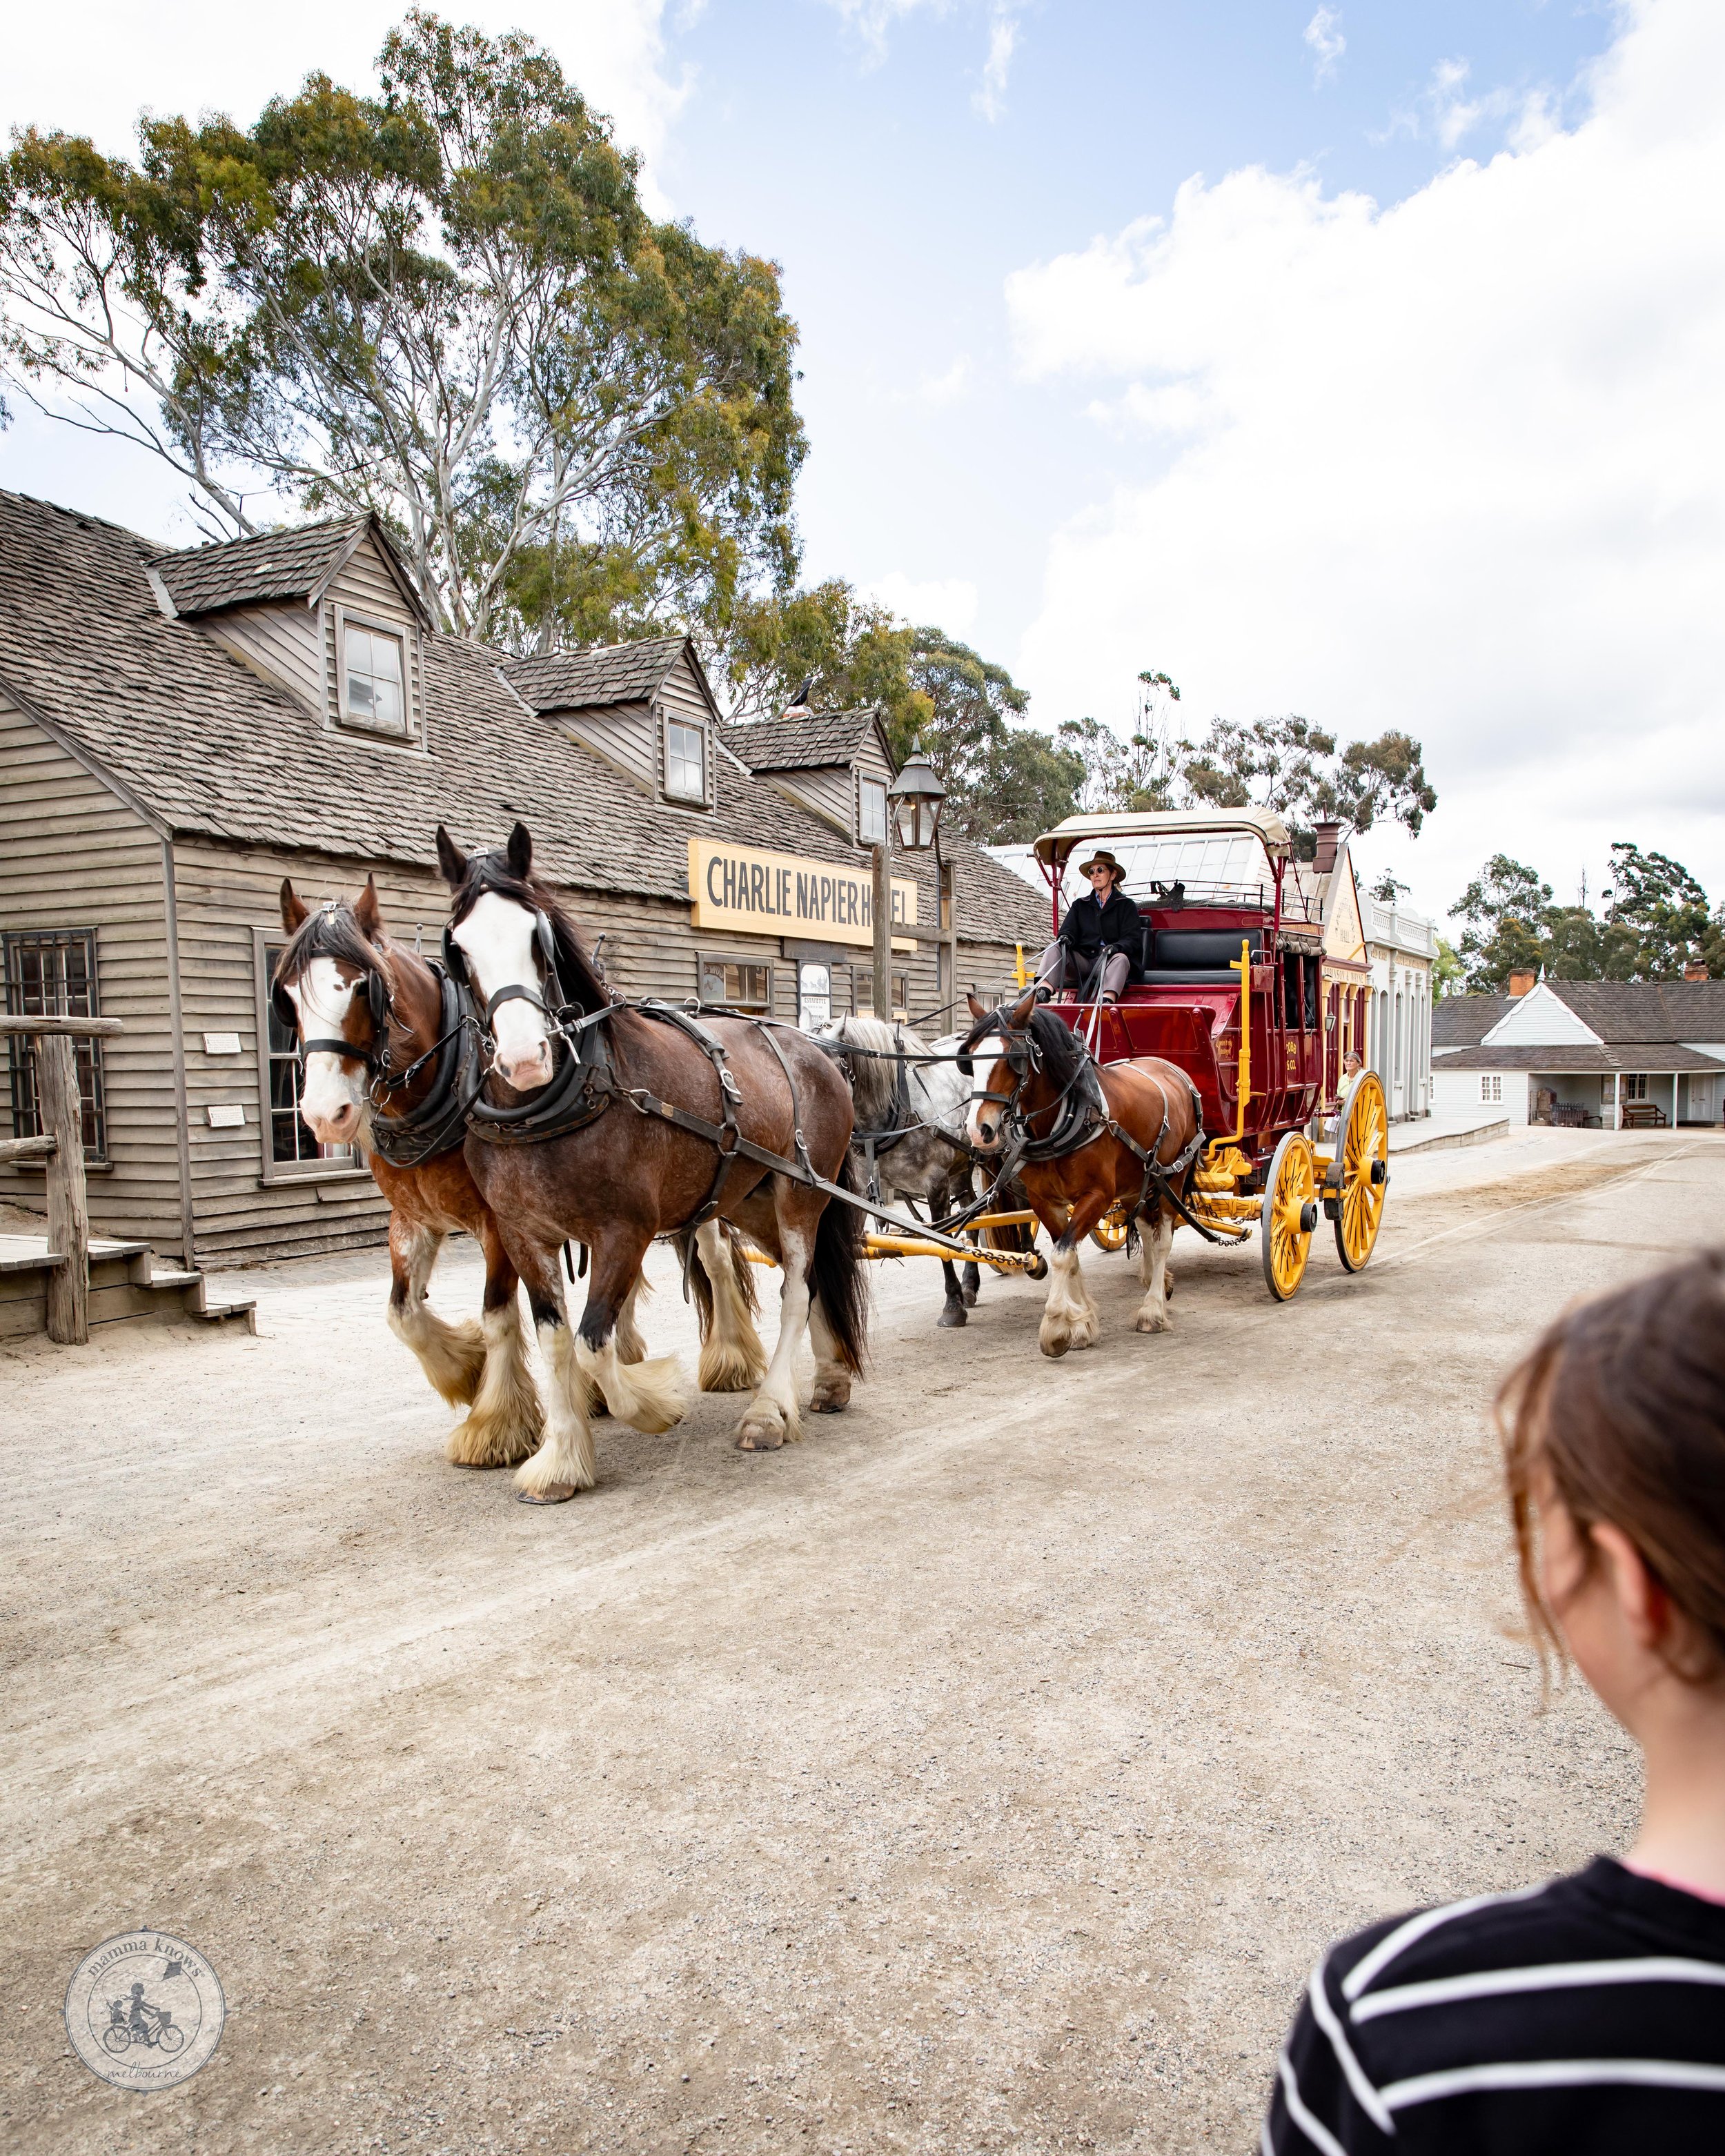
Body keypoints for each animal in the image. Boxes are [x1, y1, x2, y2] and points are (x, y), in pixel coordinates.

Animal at [273, 875, 543, 1466]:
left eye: (360, 988)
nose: (325, 1114)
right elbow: (402, 1315)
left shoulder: (500, 1223)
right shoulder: (412, 1220)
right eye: (288, 994)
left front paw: (495, 1424)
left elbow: (498, 1314)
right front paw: (465, 1368)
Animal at [431, 823, 862, 1501]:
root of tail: (818, 1050)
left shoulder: (624, 1232)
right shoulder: (524, 1234)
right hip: (755, 1200)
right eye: (458, 947)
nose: (525, 1058)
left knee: (796, 1289)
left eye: (537, 936)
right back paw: (829, 1379)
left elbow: (593, 1343)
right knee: (817, 1276)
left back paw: (768, 1411)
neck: (566, 1099)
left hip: (802, 1194)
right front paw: (561, 1457)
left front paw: (652, 1405)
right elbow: (556, 1341)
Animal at [957, 987, 1199, 1354]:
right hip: (1137, 1182)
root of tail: (1169, 1067)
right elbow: (1069, 1255)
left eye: (1014, 1058)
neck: (1066, 1117)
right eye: (970, 1058)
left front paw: (1057, 1326)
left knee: (1163, 1240)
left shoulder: (1097, 1196)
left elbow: (1062, 1255)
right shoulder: (1045, 1201)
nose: (977, 1130)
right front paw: (1082, 1324)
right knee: (1146, 1226)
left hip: (1174, 1176)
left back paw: (1153, 1309)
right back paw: (1154, 1281)